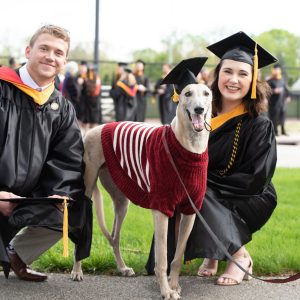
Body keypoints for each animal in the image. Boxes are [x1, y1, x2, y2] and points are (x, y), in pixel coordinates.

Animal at [71, 82, 212, 300]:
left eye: (207, 94)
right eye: (188, 93)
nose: (199, 109)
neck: (187, 146)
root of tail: (95, 129)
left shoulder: (189, 212)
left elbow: (177, 256)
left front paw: (174, 285)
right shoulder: (161, 210)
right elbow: (162, 259)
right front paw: (166, 291)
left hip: (122, 203)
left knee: (115, 237)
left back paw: (122, 268)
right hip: (87, 190)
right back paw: (77, 270)